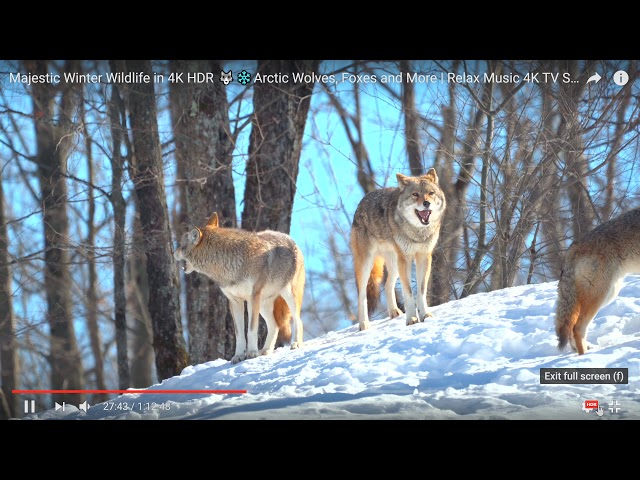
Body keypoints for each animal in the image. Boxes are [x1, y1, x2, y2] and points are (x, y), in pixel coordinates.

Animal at [174, 213, 306, 364]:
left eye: (181, 244)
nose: (174, 252)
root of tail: (291, 240)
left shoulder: (252, 298)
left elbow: (251, 329)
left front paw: (252, 353)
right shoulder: (234, 301)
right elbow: (239, 334)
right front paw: (238, 356)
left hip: (288, 297)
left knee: (298, 321)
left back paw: (296, 344)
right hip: (263, 305)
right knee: (275, 325)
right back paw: (265, 351)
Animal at [350, 169, 444, 330]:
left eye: (431, 193)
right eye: (415, 194)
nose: (426, 203)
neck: (417, 233)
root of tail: (361, 202)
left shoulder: (424, 256)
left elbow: (421, 291)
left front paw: (425, 315)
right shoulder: (406, 258)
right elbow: (408, 293)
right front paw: (412, 318)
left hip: (394, 265)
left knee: (388, 285)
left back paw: (394, 312)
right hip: (367, 265)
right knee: (362, 295)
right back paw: (364, 324)